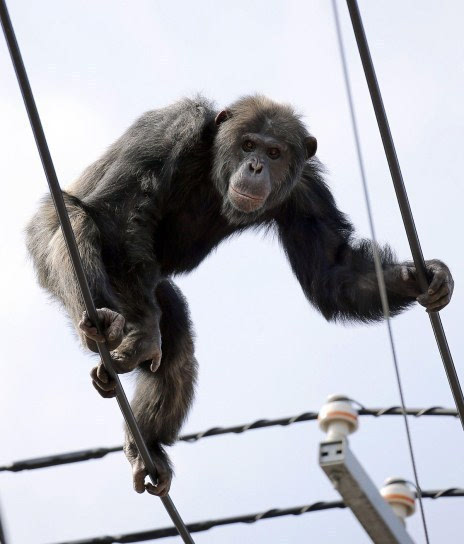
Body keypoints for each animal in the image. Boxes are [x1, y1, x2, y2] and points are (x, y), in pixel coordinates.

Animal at [25, 94, 454, 498]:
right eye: (248, 144)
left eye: (274, 152)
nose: (256, 166)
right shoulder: (172, 127)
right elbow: (120, 213)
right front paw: (145, 334)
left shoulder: (306, 191)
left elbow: (332, 272)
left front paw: (420, 277)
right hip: (70, 259)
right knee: (77, 222)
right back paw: (111, 326)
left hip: (150, 287)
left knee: (177, 344)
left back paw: (147, 448)